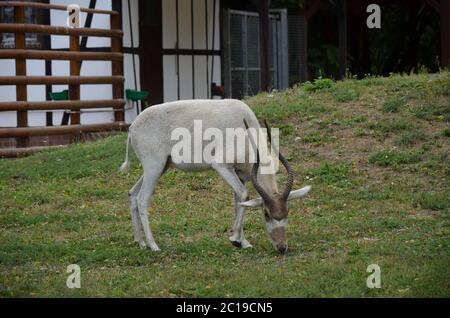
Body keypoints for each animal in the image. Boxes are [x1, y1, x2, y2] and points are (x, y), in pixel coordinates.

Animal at [118, 99, 310, 253]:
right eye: (266, 214)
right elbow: (243, 195)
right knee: (142, 200)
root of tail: (133, 126)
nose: (282, 247)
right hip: (154, 167)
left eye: (287, 212)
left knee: (132, 194)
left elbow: (238, 201)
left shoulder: (240, 174)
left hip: (160, 167)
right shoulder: (222, 166)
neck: (244, 130)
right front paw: (235, 240)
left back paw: (140, 242)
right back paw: (153, 245)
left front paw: (243, 241)